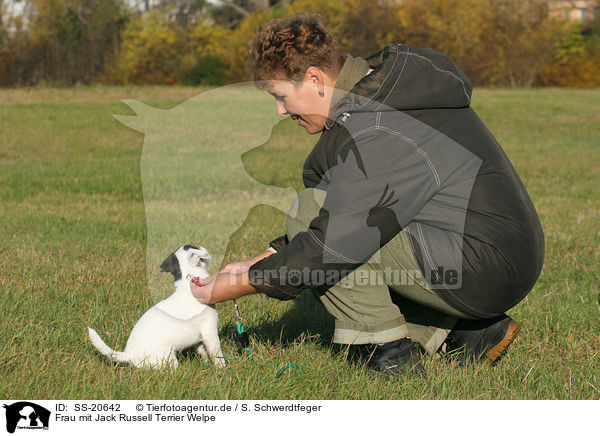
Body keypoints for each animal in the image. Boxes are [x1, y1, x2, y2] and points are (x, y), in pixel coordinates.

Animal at [89, 244, 227, 370]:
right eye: (195, 246)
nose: (205, 248)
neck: (187, 284)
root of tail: (129, 355)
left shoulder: (199, 338)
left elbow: (203, 352)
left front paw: (206, 364)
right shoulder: (210, 333)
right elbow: (217, 355)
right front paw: (222, 369)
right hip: (169, 359)